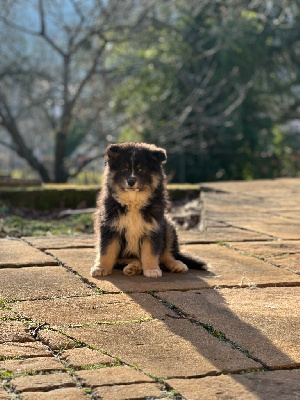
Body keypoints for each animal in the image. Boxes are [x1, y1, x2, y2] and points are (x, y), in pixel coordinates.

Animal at [89, 143, 206, 278]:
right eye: (124, 168)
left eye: (141, 169)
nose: (131, 181)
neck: (133, 202)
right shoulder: (109, 227)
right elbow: (106, 250)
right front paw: (100, 268)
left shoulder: (153, 228)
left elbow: (151, 252)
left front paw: (151, 270)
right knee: (129, 259)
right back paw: (133, 267)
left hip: (168, 227)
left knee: (166, 255)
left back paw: (176, 265)